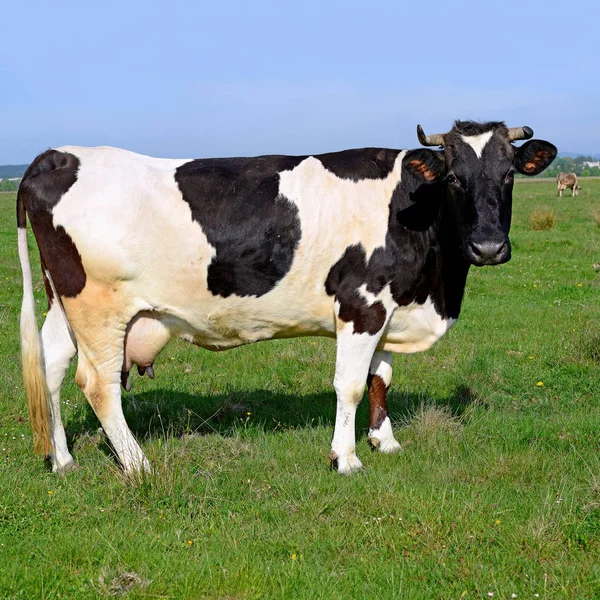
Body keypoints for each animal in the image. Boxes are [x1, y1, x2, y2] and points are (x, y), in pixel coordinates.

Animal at [16, 120, 556, 474]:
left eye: (509, 174)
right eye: (453, 177)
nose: (488, 246)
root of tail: (59, 154)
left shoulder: (388, 307)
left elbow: (380, 377)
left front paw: (384, 442)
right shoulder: (361, 304)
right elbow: (350, 385)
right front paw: (347, 457)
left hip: (62, 303)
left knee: (53, 364)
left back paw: (63, 460)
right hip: (99, 309)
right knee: (98, 384)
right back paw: (137, 464)